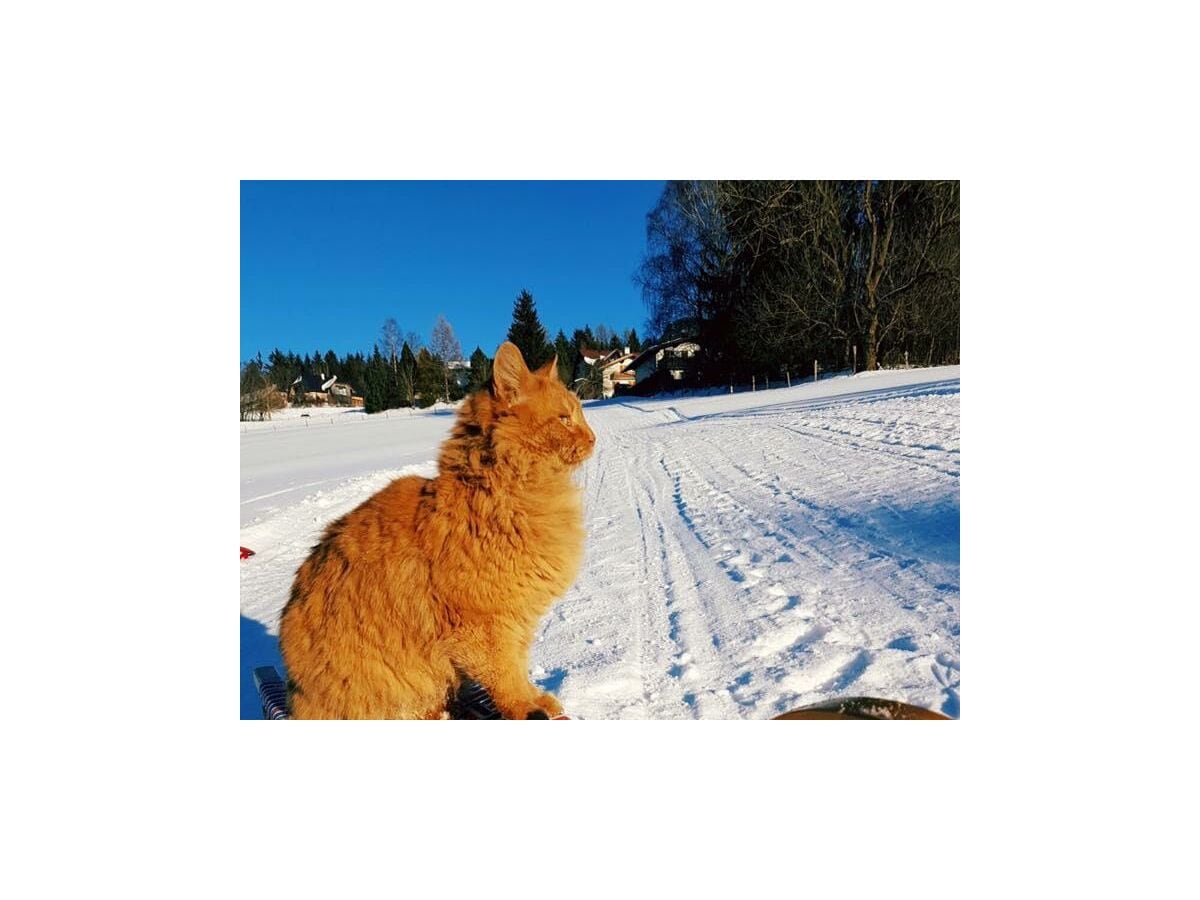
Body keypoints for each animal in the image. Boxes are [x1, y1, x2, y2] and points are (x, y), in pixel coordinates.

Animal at [277, 340, 595, 724]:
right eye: (565, 419)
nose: (593, 438)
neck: (498, 494)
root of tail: (297, 702)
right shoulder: (486, 626)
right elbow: (507, 679)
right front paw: (527, 707)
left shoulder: (516, 622)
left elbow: (519, 669)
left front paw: (537, 699)